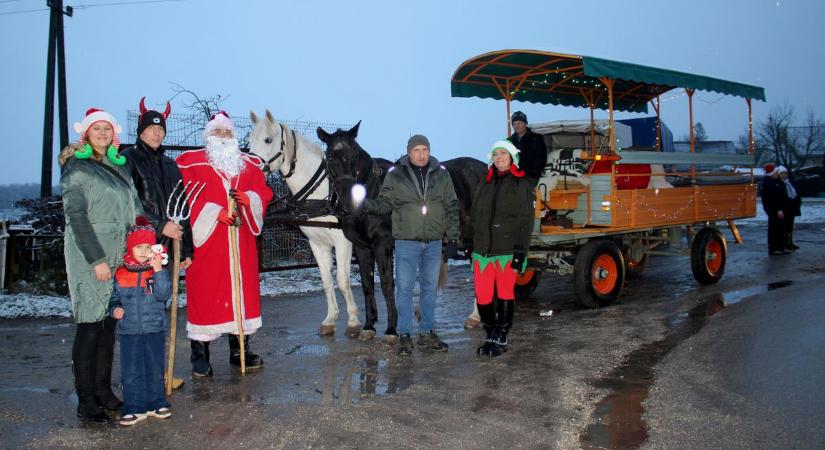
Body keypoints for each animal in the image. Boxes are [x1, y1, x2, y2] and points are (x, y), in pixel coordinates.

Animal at [246, 110, 358, 338]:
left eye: (268, 140)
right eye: (249, 141)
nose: (249, 168)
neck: (324, 194)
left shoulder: (343, 241)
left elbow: (343, 280)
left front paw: (353, 321)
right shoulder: (317, 243)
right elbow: (326, 281)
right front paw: (330, 319)